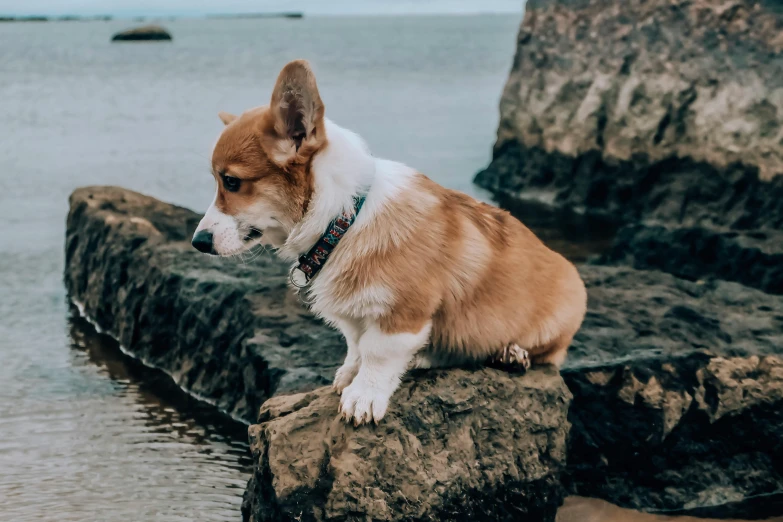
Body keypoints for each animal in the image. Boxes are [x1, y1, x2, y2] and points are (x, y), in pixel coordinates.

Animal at [193, 60, 584, 422]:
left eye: (231, 182)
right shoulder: (354, 314)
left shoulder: (402, 313)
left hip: (557, 316)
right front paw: (349, 374)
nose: (198, 242)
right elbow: (356, 345)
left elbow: (377, 353)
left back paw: (511, 354)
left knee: (549, 354)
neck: (343, 219)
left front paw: (363, 396)